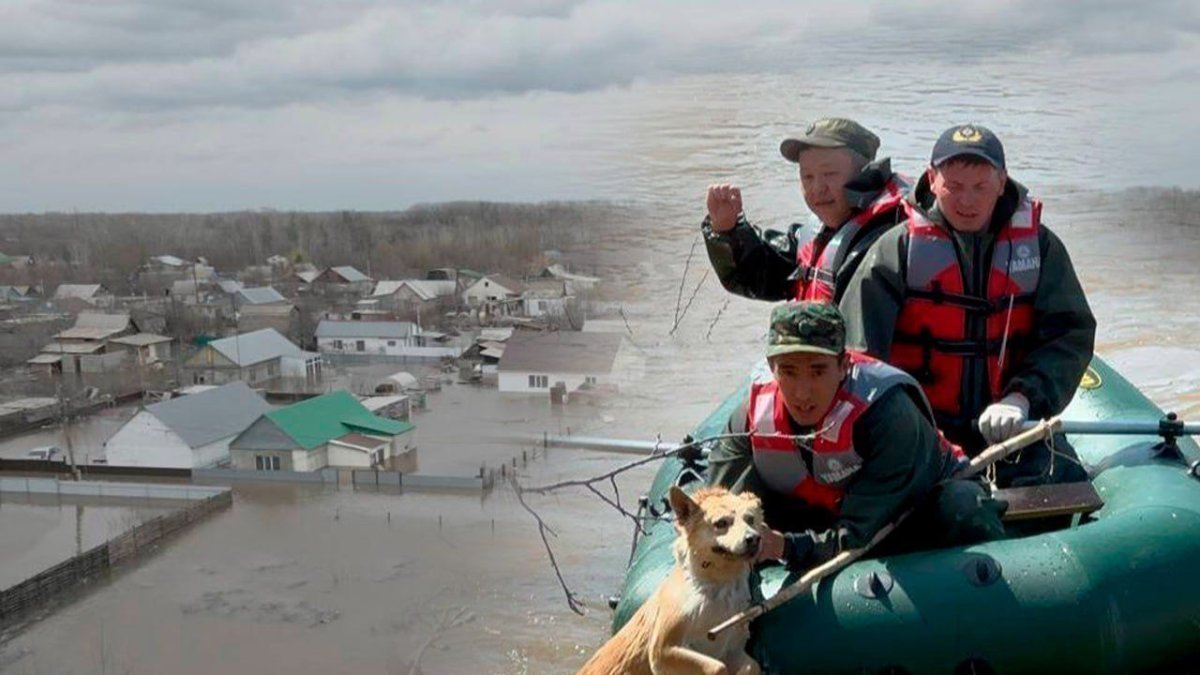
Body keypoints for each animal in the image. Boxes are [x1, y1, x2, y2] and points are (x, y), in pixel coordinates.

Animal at [578, 482, 763, 672]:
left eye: (750, 519)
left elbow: (753, 665)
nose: (754, 538)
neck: (719, 583)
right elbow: (718, 667)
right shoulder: (662, 649)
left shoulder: (733, 649)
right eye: (721, 523)